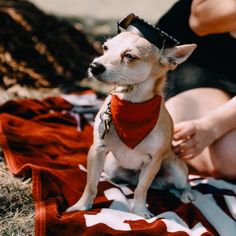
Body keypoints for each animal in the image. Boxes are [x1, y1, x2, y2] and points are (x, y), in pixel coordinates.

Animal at [66, 14, 195, 218]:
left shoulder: (153, 161)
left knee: (182, 183)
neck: (131, 103)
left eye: (129, 56)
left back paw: (186, 195)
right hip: (111, 164)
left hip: (174, 166)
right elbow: (91, 185)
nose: (94, 66)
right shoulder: (97, 150)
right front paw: (82, 206)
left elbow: (142, 189)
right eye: (105, 48)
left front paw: (140, 211)